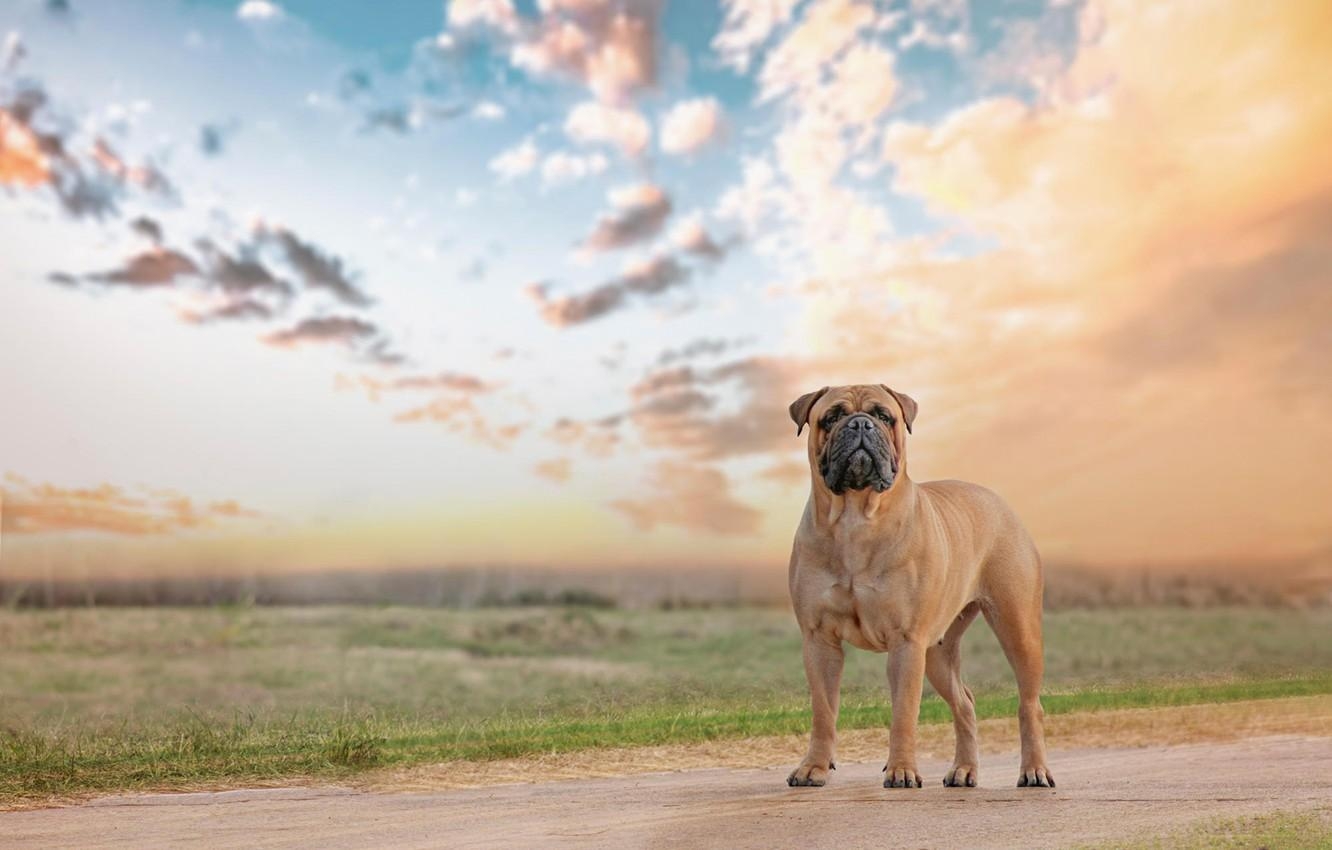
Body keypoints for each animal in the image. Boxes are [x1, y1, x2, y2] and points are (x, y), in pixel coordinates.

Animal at [777, 386, 1049, 794]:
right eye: (832, 417)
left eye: (884, 416)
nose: (860, 424)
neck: (855, 517)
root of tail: (998, 501)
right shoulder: (819, 638)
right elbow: (823, 711)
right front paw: (814, 768)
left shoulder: (906, 641)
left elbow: (904, 712)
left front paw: (902, 770)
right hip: (937, 650)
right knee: (965, 702)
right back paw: (964, 771)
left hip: (1017, 628)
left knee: (1029, 704)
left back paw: (1034, 771)